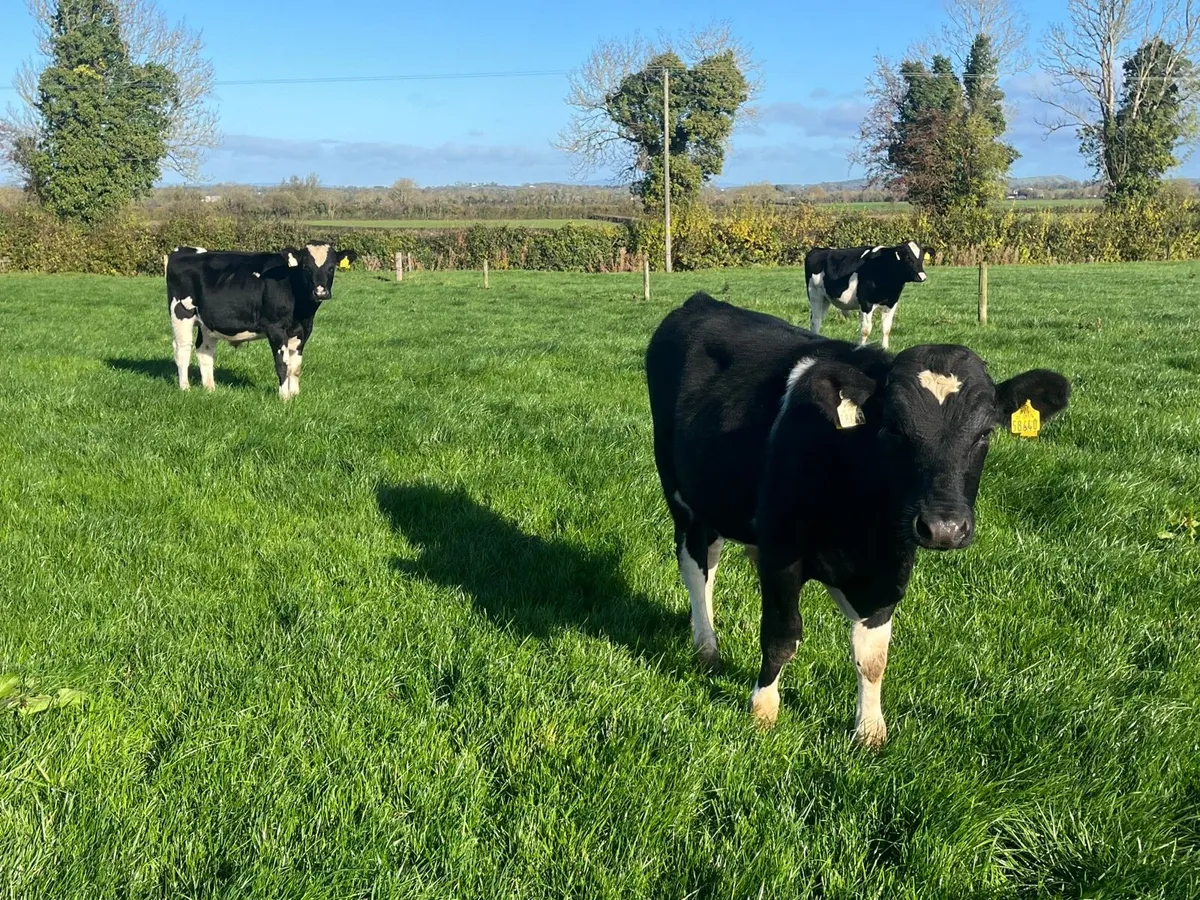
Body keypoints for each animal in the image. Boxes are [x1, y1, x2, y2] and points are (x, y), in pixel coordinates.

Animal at [166, 242, 356, 400]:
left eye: (331, 267)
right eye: (306, 267)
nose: (320, 292)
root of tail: (183, 250)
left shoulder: (303, 330)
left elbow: (295, 367)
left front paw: (295, 395)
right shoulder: (276, 328)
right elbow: (283, 364)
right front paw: (284, 398)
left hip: (208, 322)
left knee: (204, 350)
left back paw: (210, 388)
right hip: (181, 313)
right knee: (182, 350)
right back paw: (185, 388)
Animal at [645, 293, 1071, 748]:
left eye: (985, 433)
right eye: (894, 429)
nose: (944, 529)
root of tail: (704, 301)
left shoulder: (891, 566)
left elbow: (873, 655)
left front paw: (869, 729)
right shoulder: (781, 550)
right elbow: (781, 634)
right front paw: (763, 711)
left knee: (712, 560)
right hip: (680, 493)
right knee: (695, 566)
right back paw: (706, 646)